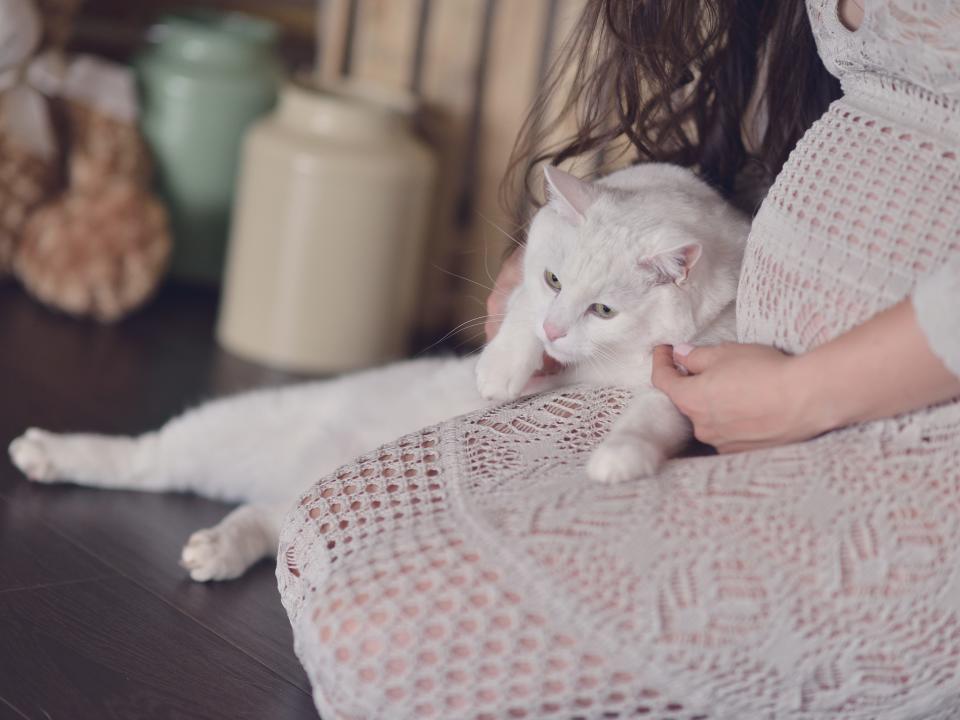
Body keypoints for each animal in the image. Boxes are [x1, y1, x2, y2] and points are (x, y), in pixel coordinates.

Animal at [7, 163, 748, 580]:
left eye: (603, 310)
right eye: (553, 279)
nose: (556, 332)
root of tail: (300, 478)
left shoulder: (688, 379)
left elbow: (653, 416)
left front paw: (618, 459)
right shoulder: (532, 280)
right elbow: (515, 315)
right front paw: (501, 372)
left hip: (296, 508)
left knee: (259, 519)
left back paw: (217, 547)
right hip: (233, 428)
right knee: (146, 459)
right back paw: (45, 452)